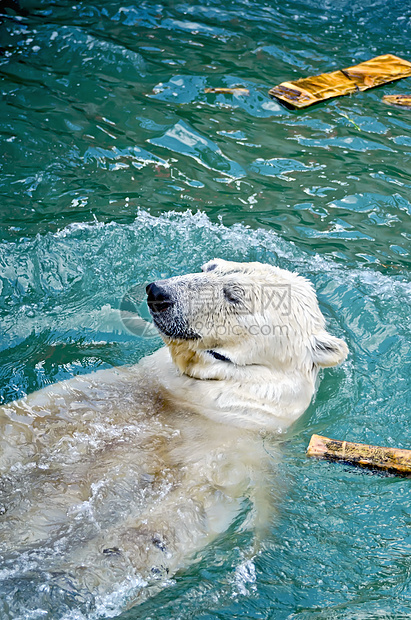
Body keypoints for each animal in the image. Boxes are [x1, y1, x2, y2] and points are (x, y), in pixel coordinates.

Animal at [0, 258, 348, 616]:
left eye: (234, 295)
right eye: (210, 266)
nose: (158, 292)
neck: (203, 403)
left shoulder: (235, 457)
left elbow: (164, 525)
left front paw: (51, 586)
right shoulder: (122, 390)